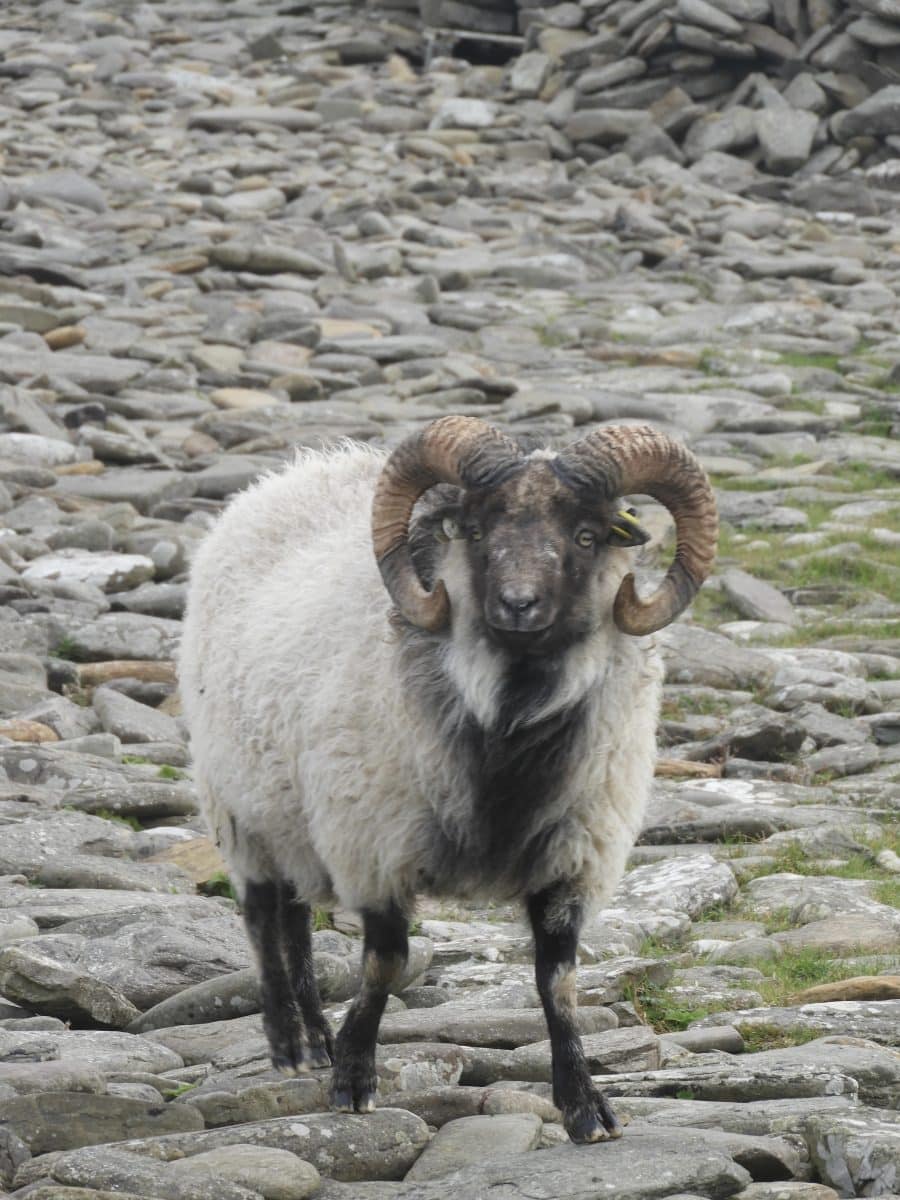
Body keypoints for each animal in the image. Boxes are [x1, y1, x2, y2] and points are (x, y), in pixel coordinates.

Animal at [179, 415, 717, 1144]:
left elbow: (559, 981)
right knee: (264, 917)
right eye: (478, 530)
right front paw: (354, 1080)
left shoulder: (575, 856)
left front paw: (585, 1106)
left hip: (292, 813)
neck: (509, 718)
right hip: (237, 805)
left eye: (586, 535)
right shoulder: (374, 843)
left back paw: (316, 1039)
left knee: (294, 919)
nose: (518, 605)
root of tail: (296, 472)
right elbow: (384, 963)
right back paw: (291, 1045)